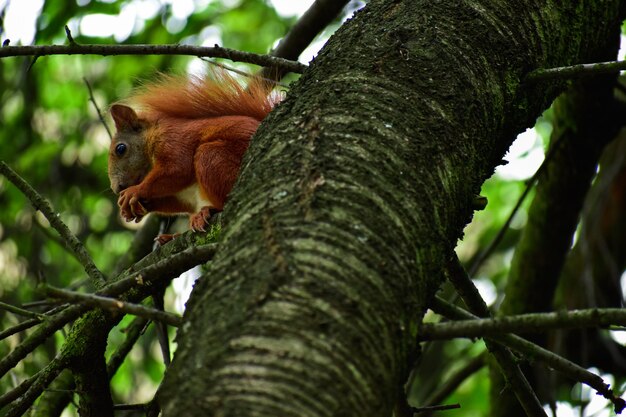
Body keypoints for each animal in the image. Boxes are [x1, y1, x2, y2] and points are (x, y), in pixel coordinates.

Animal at [107, 70, 276, 242]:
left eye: (120, 149)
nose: (117, 188)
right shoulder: (184, 196)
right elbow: (174, 201)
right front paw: (134, 208)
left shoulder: (173, 139)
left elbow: (178, 169)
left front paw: (135, 191)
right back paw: (172, 236)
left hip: (214, 157)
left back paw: (206, 212)